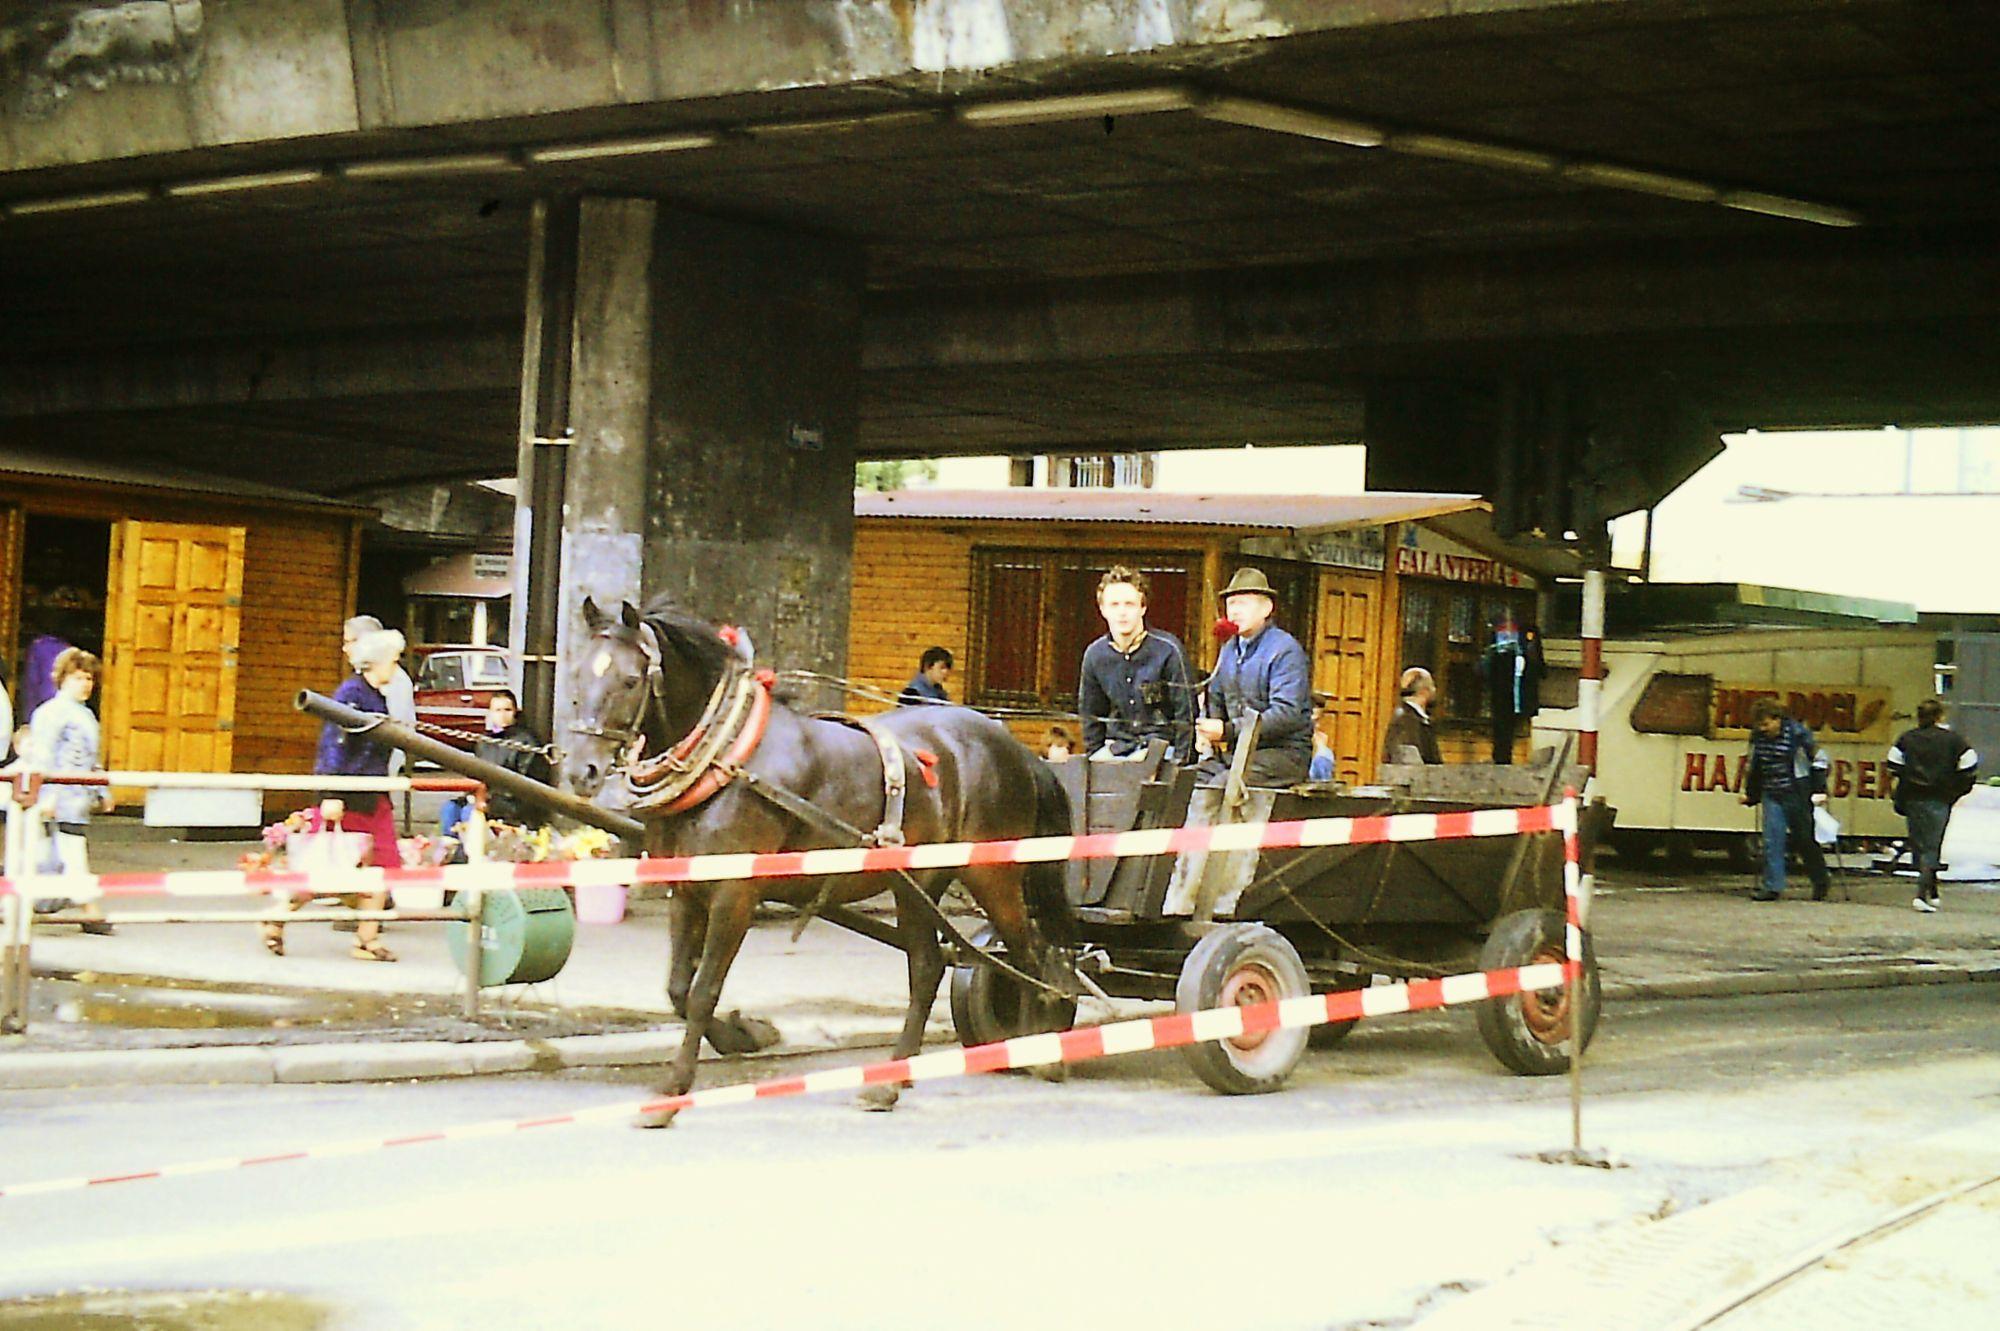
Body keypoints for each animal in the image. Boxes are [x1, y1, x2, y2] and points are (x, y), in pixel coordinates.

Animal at [560, 595, 1080, 1111]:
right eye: (578, 675)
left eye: (630, 680)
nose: (581, 770)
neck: (726, 759)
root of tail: (1014, 748)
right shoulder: (685, 888)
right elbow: (677, 989)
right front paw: (744, 1034)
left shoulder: (735, 893)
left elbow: (705, 989)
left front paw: (676, 1088)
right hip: (918, 883)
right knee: (930, 966)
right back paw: (891, 1082)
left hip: (992, 872)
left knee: (1032, 956)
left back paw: (1043, 1044)